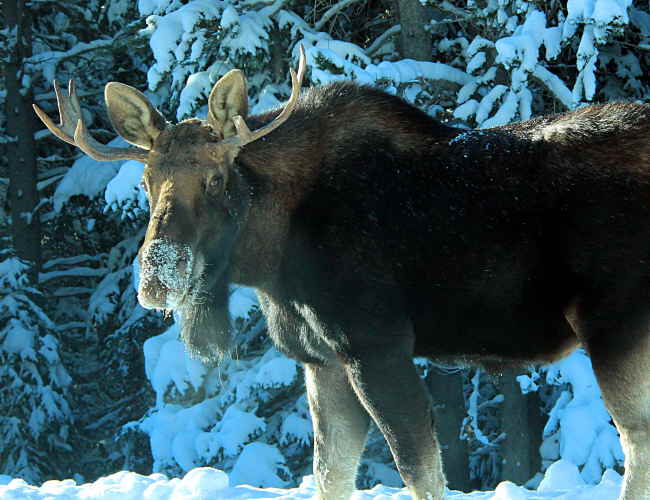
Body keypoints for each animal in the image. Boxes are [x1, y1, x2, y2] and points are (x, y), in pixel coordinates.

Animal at [34, 46, 649, 500]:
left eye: (216, 179)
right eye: (146, 182)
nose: (158, 278)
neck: (273, 259)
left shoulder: (374, 346)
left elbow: (420, 473)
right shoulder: (319, 358)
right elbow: (331, 475)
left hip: (615, 327)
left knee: (635, 444)